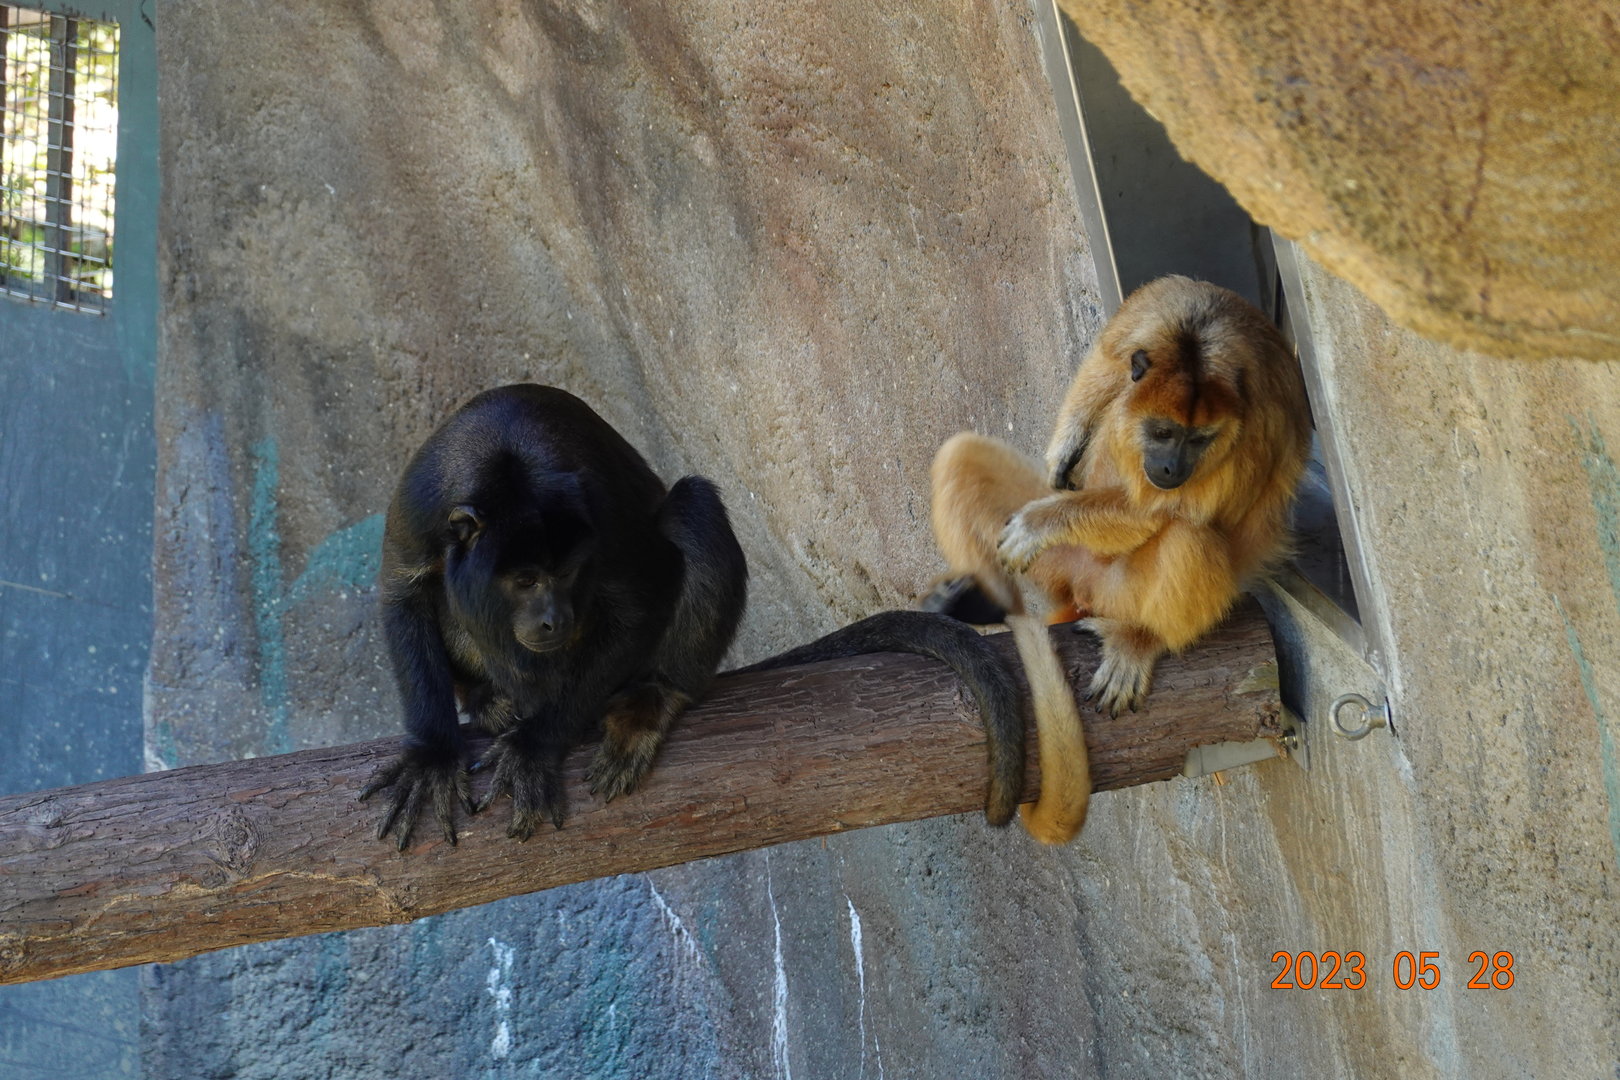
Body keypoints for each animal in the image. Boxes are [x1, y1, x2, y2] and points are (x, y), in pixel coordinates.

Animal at [360, 384, 749, 848]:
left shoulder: (601, 505)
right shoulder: (421, 502)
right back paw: (486, 699)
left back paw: (653, 698)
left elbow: (639, 603)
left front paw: (534, 746)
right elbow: (404, 593)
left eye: (566, 573)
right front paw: (433, 755)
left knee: (694, 503)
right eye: (526, 580)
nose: (554, 619)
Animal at [926, 275, 1311, 844]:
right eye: (1162, 433)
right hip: (1063, 568)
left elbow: (1170, 509)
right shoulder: (1150, 310)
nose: (1172, 466)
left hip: (1119, 588)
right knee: (963, 455)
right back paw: (977, 600)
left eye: (1200, 440)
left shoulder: (1255, 425)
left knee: (1188, 536)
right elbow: (1100, 372)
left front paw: (1045, 521)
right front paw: (1064, 448)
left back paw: (1139, 638)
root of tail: (1085, 593)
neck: (1200, 333)